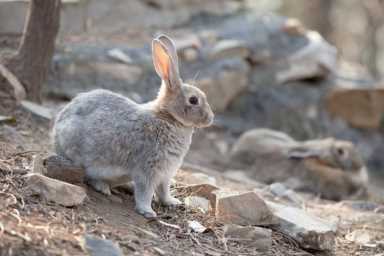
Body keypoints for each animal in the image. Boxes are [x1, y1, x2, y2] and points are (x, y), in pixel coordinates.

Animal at [52, 34, 214, 218]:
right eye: (193, 100)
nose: (211, 118)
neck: (168, 117)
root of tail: (56, 130)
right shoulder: (148, 169)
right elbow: (145, 192)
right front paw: (148, 212)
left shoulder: (166, 173)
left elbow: (163, 191)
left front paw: (172, 202)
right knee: (89, 176)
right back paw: (104, 188)